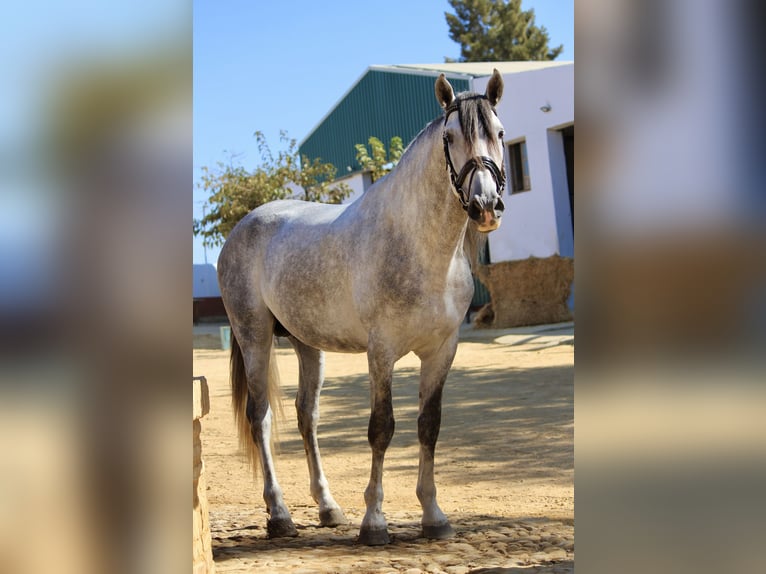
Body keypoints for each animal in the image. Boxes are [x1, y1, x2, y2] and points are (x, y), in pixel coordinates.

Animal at [219, 70, 510, 548]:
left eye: (500, 134)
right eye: (450, 136)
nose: (485, 206)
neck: (417, 245)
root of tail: (243, 227)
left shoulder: (442, 351)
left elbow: (429, 425)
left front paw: (433, 516)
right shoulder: (382, 352)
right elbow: (381, 428)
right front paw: (374, 522)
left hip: (306, 344)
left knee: (307, 416)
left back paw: (328, 508)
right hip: (254, 337)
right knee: (259, 418)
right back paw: (279, 515)